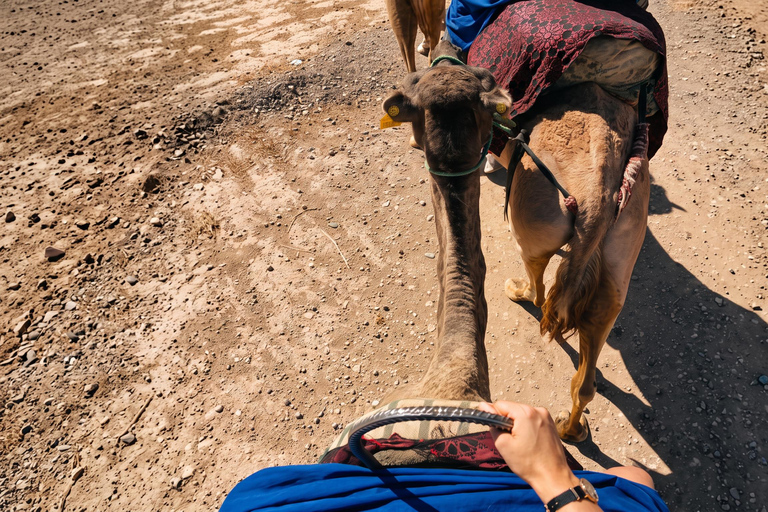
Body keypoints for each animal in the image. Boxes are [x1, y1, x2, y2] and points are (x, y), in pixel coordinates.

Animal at [383, 41, 652, 443]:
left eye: (416, 79)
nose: (446, 45)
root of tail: (597, 197)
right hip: (626, 234)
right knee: (597, 331)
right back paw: (571, 428)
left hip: (532, 212)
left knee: (538, 280)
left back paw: (518, 291)